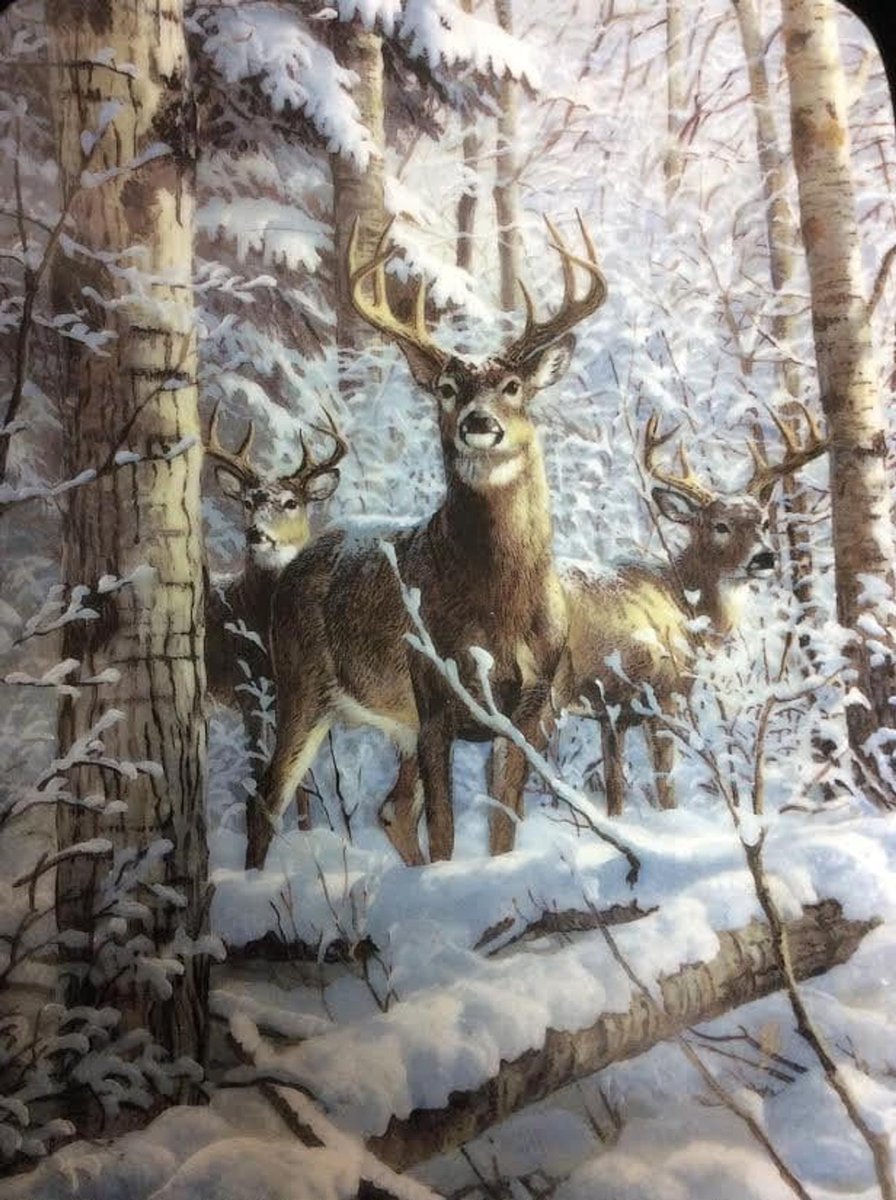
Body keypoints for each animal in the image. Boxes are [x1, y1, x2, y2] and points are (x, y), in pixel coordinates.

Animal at [244, 214, 608, 870]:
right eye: (445, 387)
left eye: (512, 385)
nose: (479, 423)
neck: (500, 608)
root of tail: (296, 563)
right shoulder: (433, 692)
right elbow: (445, 833)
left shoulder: (529, 705)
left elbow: (502, 827)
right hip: (302, 682)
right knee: (266, 800)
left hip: (394, 724)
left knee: (390, 810)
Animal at [556, 403, 829, 816]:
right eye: (720, 525)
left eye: (764, 521)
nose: (764, 557)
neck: (683, 602)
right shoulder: (664, 693)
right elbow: (664, 786)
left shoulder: (612, 712)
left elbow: (615, 789)